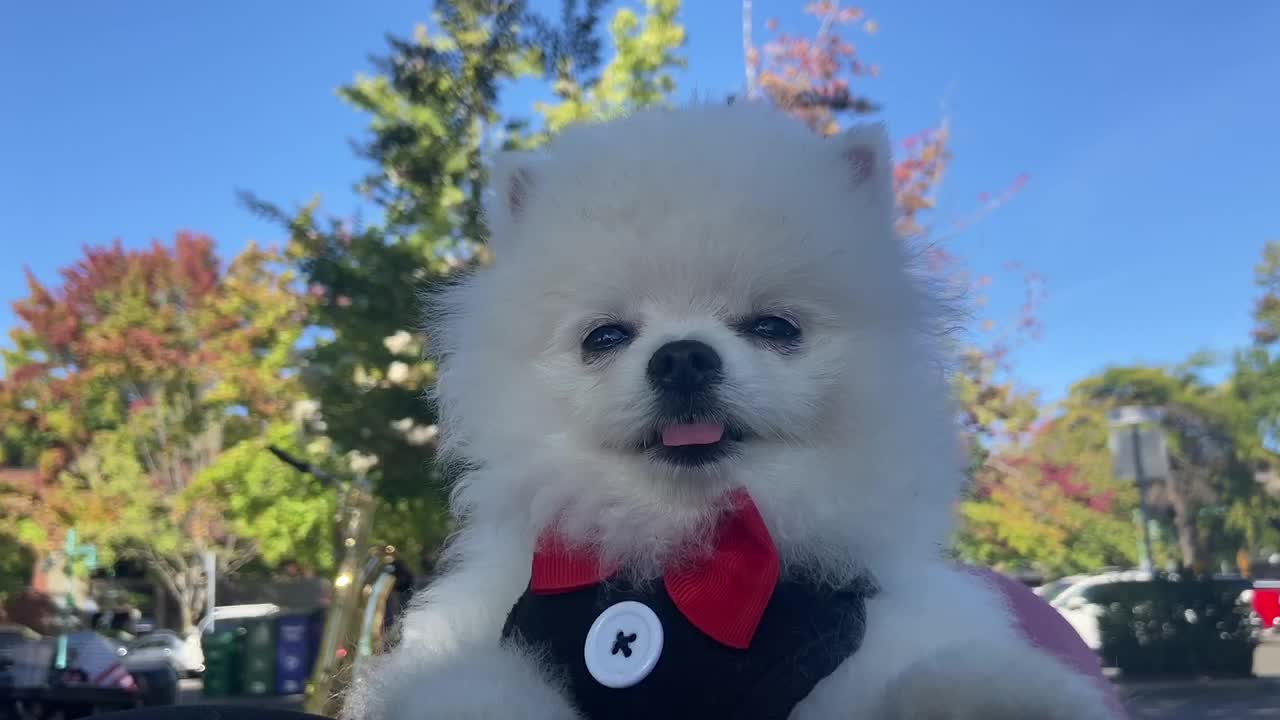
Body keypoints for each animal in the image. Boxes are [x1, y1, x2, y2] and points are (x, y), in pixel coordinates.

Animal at [343, 102, 1121, 717]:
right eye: (605, 337)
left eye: (774, 327)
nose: (683, 357)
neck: (691, 553)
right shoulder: (485, 630)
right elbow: (469, 687)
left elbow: (933, 677)